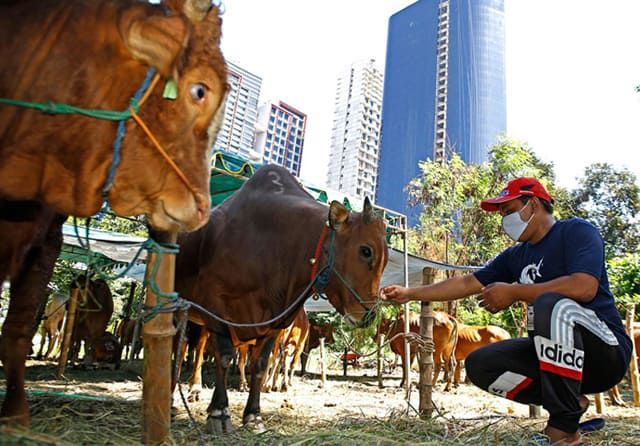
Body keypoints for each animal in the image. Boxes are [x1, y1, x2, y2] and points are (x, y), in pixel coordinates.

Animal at [172, 166, 388, 434]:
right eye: (366, 250)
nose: (368, 315)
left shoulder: (277, 321)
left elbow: (261, 364)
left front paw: (253, 415)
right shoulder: (216, 304)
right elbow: (224, 356)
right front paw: (220, 412)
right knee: (181, 348)